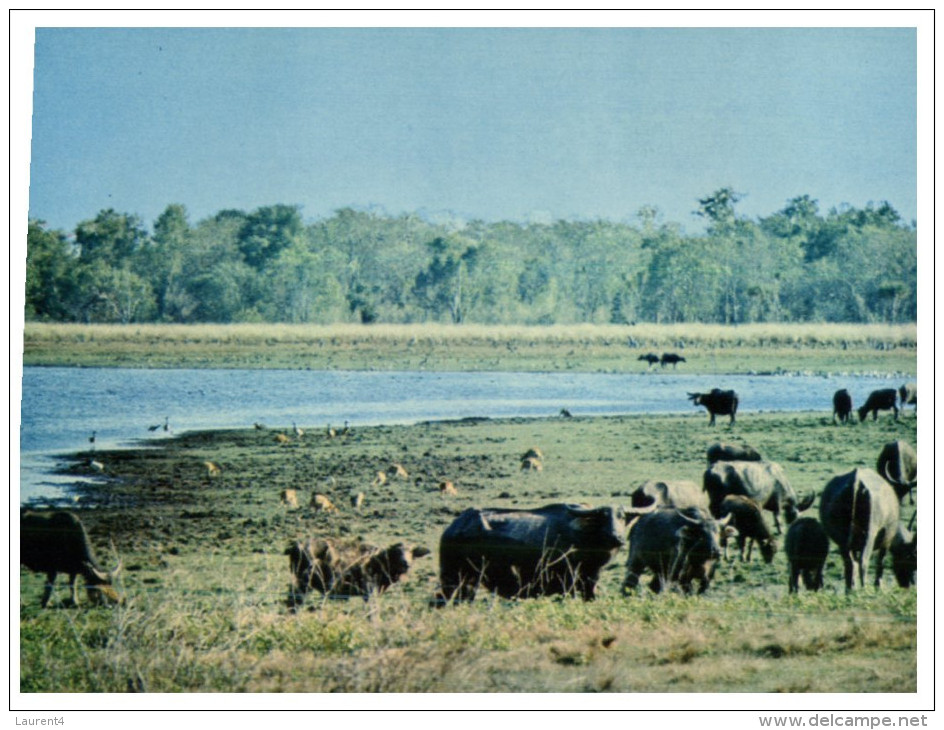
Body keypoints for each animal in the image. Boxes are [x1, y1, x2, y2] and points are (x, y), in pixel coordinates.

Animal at [284, 532, 432, 604]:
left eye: (412, 553)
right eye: (397, 552)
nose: (406, 563)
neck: (379, 561)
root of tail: (296, 546)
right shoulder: (369, 591)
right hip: (303, 584)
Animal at [434, 504, 640, 600]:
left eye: (622, 518)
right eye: (604, 517)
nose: (617, 537)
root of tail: (453, 527)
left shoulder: (589, 585)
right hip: (454, 579)